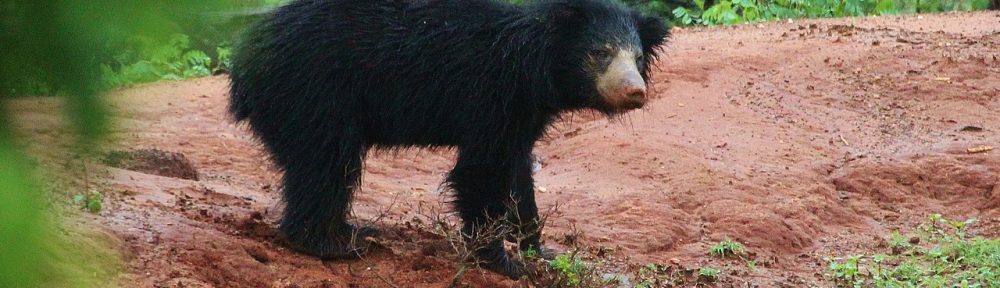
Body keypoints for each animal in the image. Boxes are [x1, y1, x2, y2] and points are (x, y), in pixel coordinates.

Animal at [229, 0, 668, 280]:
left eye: (637, 58)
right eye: (600, 53)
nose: (635, 92)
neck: (536, 70)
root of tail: (242, 66)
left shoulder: (523, 115)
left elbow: (518, 173)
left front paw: (536, 247)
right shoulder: (492, 97)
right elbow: (480, 172)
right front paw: (502, 261)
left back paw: (352, 230)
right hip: (315, 91)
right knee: (325, 164)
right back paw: (332, 244)